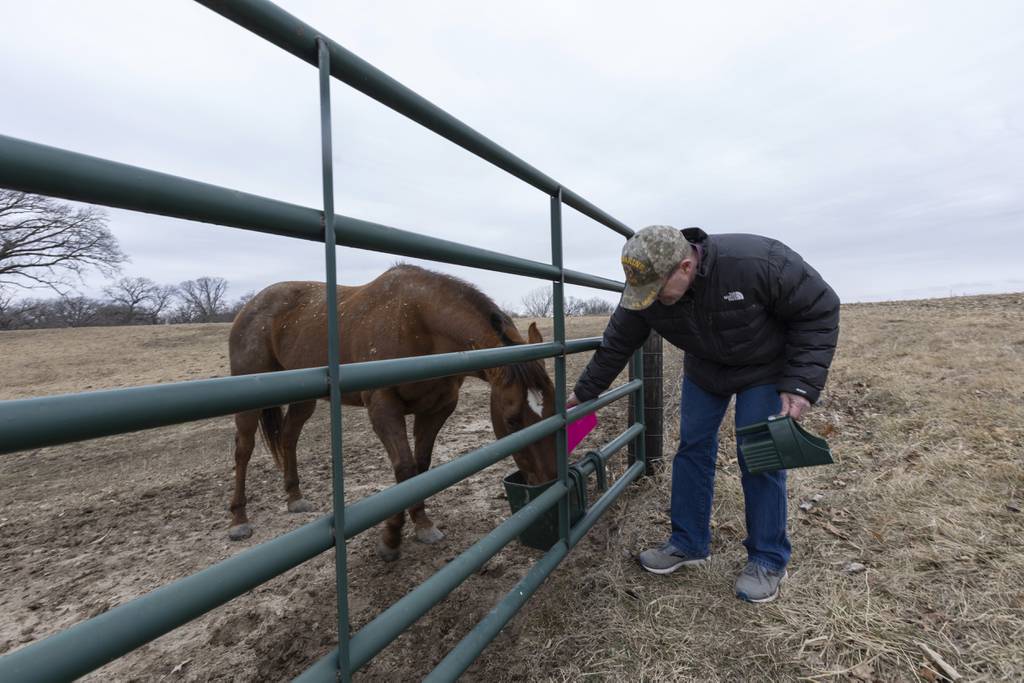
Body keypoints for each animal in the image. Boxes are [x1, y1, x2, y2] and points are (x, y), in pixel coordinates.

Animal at [227, 264, 557, 560]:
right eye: (512, 421)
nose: (548, 483)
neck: (416, 322)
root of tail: (250, 306)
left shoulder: (437, 409)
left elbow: (419, 468)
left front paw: (421, 525)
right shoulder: (383, 407)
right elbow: (405, 468)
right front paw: (391, 539)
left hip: (303, 399)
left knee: (288, 438)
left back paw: (294, 498)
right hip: (249, 397)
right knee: (244, 448)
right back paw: (239, 520)